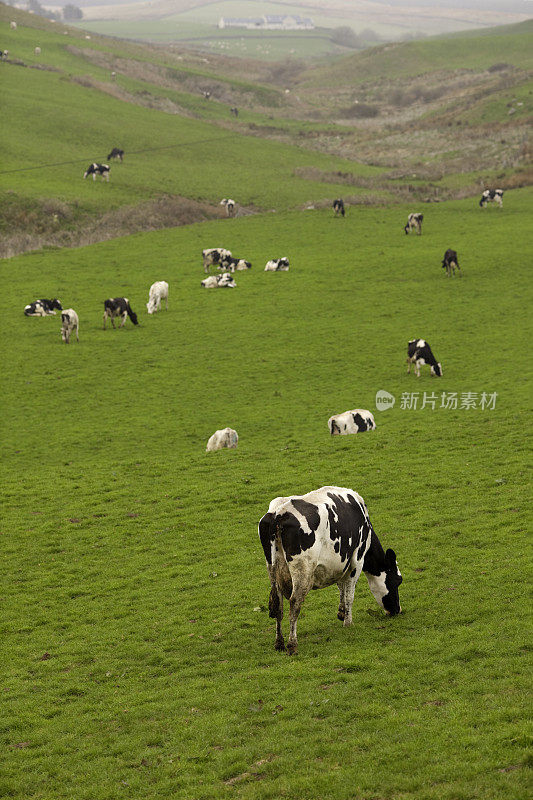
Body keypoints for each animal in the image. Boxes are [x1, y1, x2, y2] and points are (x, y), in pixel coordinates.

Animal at [258, 484, 404, 652]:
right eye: (398, 580)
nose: (397, 610)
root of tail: (278, 514)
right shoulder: (357, 559)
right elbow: (349, 594)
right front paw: (348, 622)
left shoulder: (341, 561)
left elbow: (341, 585)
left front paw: (341, 612)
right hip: (303, 569)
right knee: (295, 602)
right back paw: (292, 643)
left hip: (272, 569)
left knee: (277, 604)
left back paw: (279, 642)